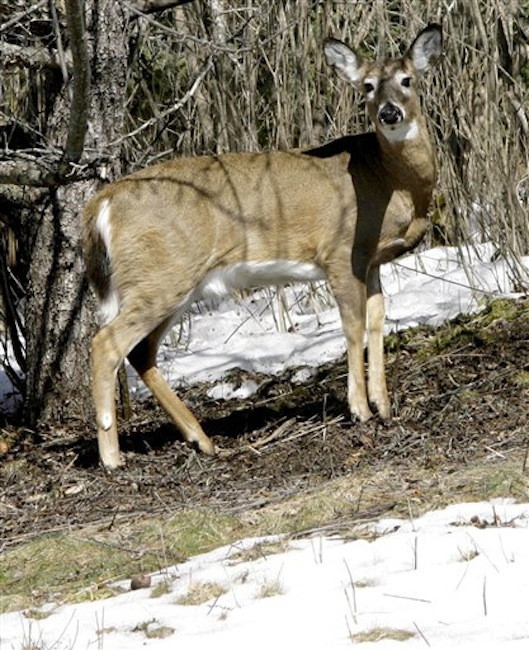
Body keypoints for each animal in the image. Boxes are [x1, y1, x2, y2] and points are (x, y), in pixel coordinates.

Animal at [83, 21, 442, 466]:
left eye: (407, 80)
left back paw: (202, 440)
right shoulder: (340, 252)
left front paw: (384, 405)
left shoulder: (371, 260)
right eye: (368, 86)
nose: (389, 113)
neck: (392, 181)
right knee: (105, 345)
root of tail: (102, 202)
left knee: (140, 352)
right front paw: (359, 409)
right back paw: (113, 458)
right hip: (160, 274)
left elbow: (377, 322)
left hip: (171, 281)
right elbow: (353, 326)